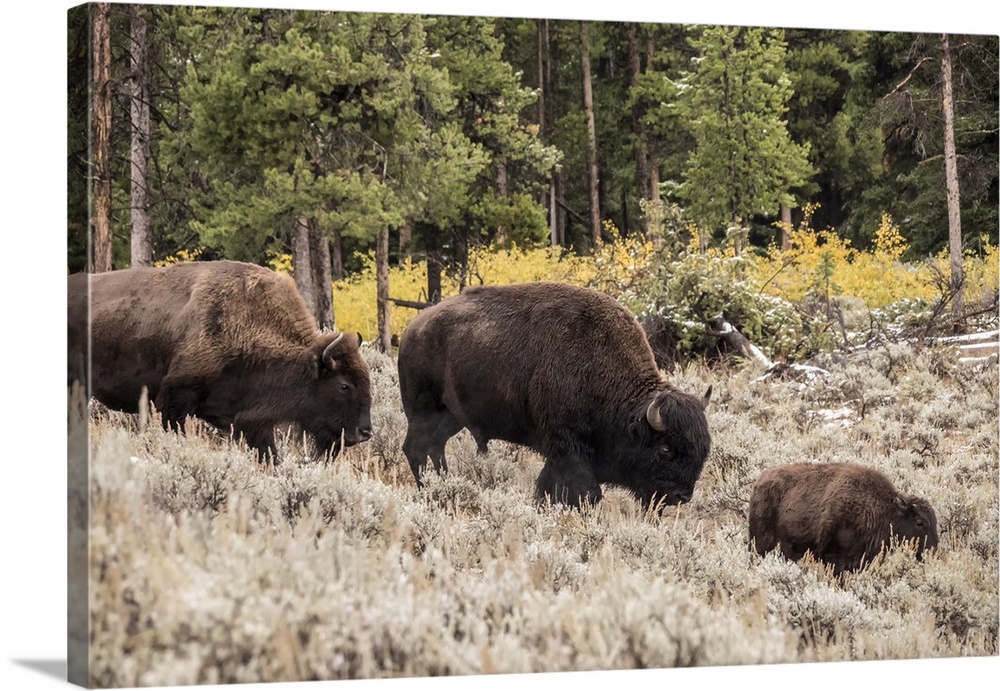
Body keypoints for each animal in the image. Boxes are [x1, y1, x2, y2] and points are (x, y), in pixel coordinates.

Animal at [394, 282, 716, 508]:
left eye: (703, 448)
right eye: (665, 449)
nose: (681, 496)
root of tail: (411, 330)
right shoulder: (567, 448)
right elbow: (583, 491)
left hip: (451, 417)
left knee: (434, 448)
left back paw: (441, 482)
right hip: (422, 411)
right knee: (417, 449)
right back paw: (431, 487)